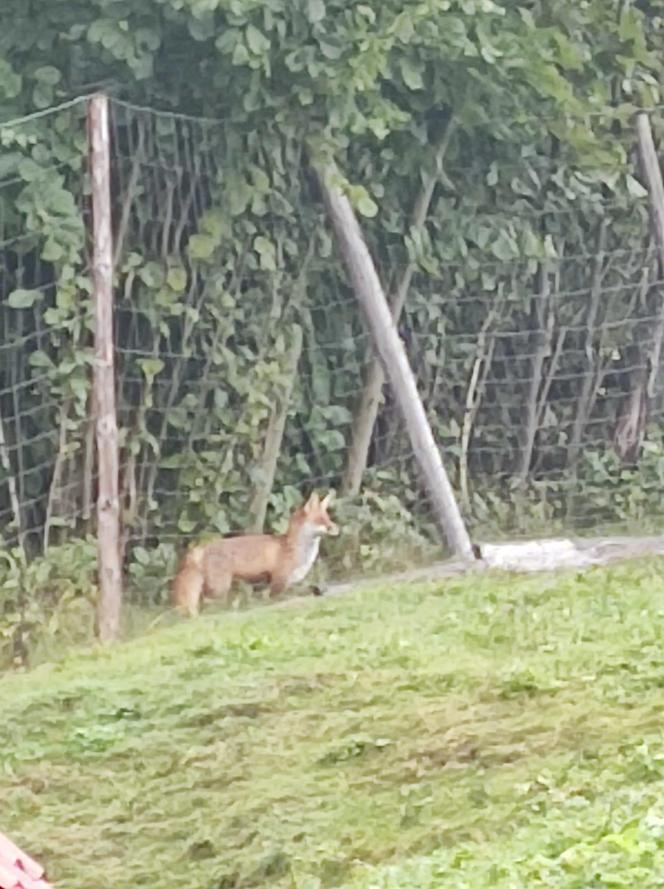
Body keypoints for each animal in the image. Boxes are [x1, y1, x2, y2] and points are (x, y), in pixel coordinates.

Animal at [172, 490, 338, 612]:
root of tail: (200, 548)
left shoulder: (284, 582)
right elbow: (280, 596)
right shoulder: (279, 582)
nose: (337, 528)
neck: (295, 549)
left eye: (329, 519)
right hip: (220, 587)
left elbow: (310, 587)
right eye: (321, 521)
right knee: (207, 603)